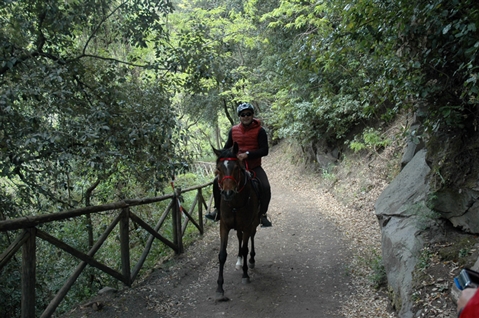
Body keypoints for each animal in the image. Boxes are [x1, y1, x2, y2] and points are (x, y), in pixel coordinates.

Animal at [213, 142, 260, 300]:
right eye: (218, 169)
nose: (228, 193)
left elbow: (245, 249)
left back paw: (251, 260)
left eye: (236, 168)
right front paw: (220, 288)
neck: (234, 203)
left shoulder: (247, 225)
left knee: (251, 237)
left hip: (254, 222)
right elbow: (222, 255)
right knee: (240, 238)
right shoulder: (224, 226)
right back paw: (239, 261)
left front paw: (245, 274)